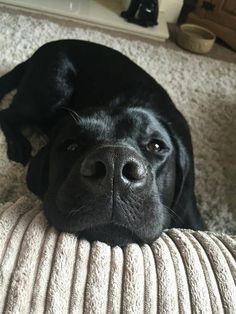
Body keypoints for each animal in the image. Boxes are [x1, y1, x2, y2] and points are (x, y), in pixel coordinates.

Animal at [0, 39, 205, 245]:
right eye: (72, 145)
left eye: (156, 146)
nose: (115, 165)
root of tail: (44, 48)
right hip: (52, 90)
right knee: (6, 113)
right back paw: (18, 146)